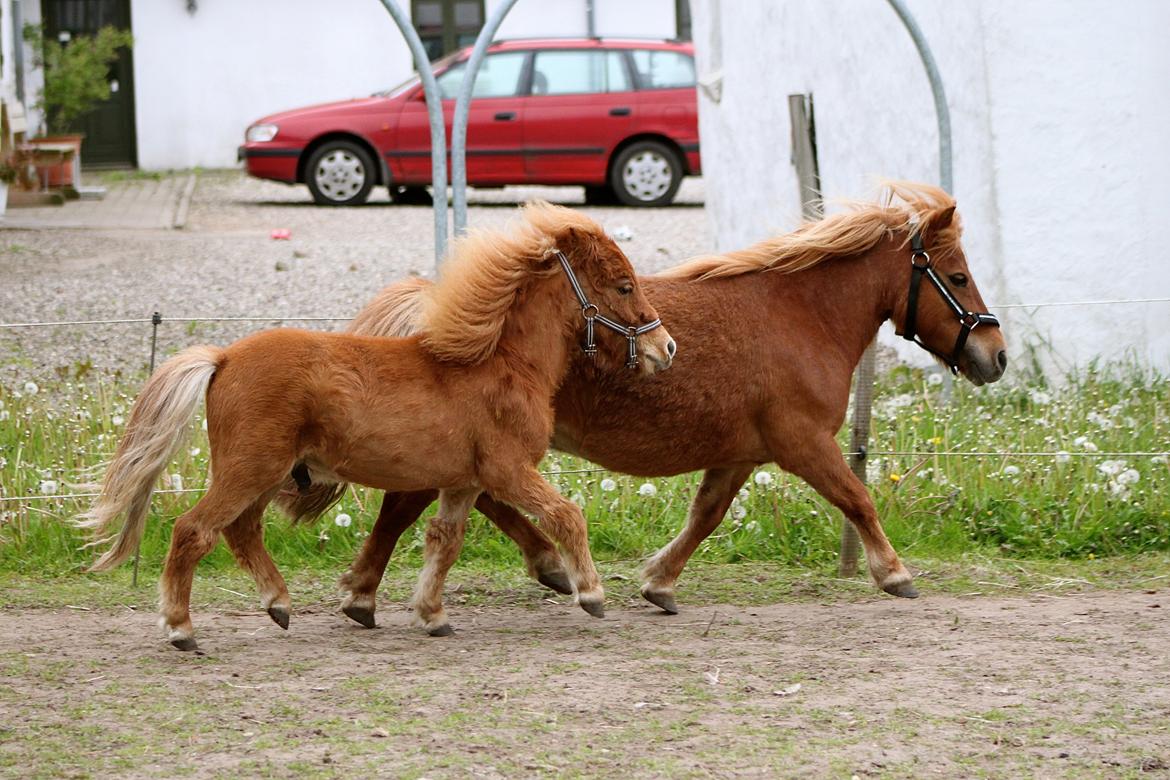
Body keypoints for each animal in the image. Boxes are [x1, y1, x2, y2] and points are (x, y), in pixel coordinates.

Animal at [82, 201, 678, 645]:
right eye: (623, 285)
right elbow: (566, 515)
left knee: (240, 530)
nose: (665, 347)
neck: (501, 363)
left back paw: (278, 603)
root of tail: (223, 358)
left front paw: (432, 614)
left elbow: (444, 539)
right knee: (195, 529)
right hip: (251, 468)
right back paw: (181, 628)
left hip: (262, 473)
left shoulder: (464, 481)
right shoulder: (508, 471)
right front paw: (591, 593)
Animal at [280, 180, 1006, 626]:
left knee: (465, 502)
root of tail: (427, 310)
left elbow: (705, 517)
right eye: (960, 275)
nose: (995, 354)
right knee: (412, 506)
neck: (800, 318)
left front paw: (659, 582)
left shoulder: (741, 453)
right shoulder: (802, 443)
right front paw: (895, 572)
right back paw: (371, 592)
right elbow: (858, 499)